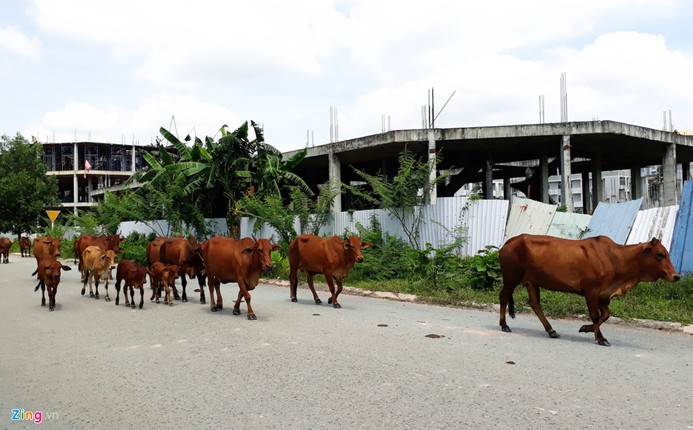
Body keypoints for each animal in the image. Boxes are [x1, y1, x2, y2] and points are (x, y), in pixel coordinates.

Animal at [500, 235, 680, 346]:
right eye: (659, 254)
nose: (676, 276)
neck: (617, 260)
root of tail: (512, 240)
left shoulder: (604, 295)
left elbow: (606, 315)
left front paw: (586, 328)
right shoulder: (591, 291)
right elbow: (595, 315)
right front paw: (600, 338)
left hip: (532, 282)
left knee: (535, 304)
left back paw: (551, 330)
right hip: (511, 279)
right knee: (504, 297)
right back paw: (504, 325)